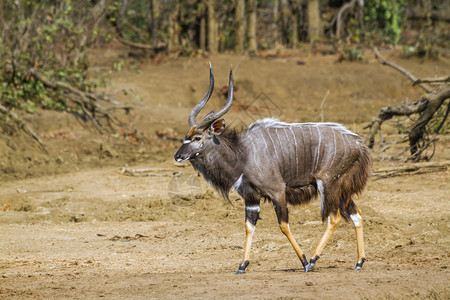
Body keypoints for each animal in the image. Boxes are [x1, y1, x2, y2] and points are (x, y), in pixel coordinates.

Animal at [174, 64, 370, 274]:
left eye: (197, 138)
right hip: (342, 191)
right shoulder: (251, 197)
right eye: (186, 136)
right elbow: (248, 226)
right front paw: (242, 265)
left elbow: (283, 225)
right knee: (356, 215)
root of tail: (359, 145)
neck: (242, 153)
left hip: (329, 185)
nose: (177, 156)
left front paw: (303, 261)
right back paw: (359, 262)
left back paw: (313, 260)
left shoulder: (277, 191)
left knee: (334, 218)